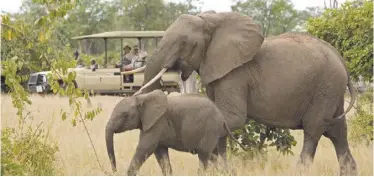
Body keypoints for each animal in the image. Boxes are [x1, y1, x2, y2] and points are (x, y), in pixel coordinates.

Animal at [106, 90, 245, 176]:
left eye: (124, 115)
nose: (114, 171)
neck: (142, 97)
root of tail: (222, 117)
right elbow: (160, 153)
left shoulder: (157, 122)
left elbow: (145, 148)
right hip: (216, 132)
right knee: (216, 155)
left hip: (210, 128)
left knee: (205, 156)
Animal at [124, 11, 358, 176]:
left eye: (183, 43)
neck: (212, 21)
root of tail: (341, 60)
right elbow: (218, 120)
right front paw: (222, 171)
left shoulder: (235, 74)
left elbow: (231, 118)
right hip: (331, 91)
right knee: (338, 133)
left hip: (325, 88)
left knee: (313, 131)